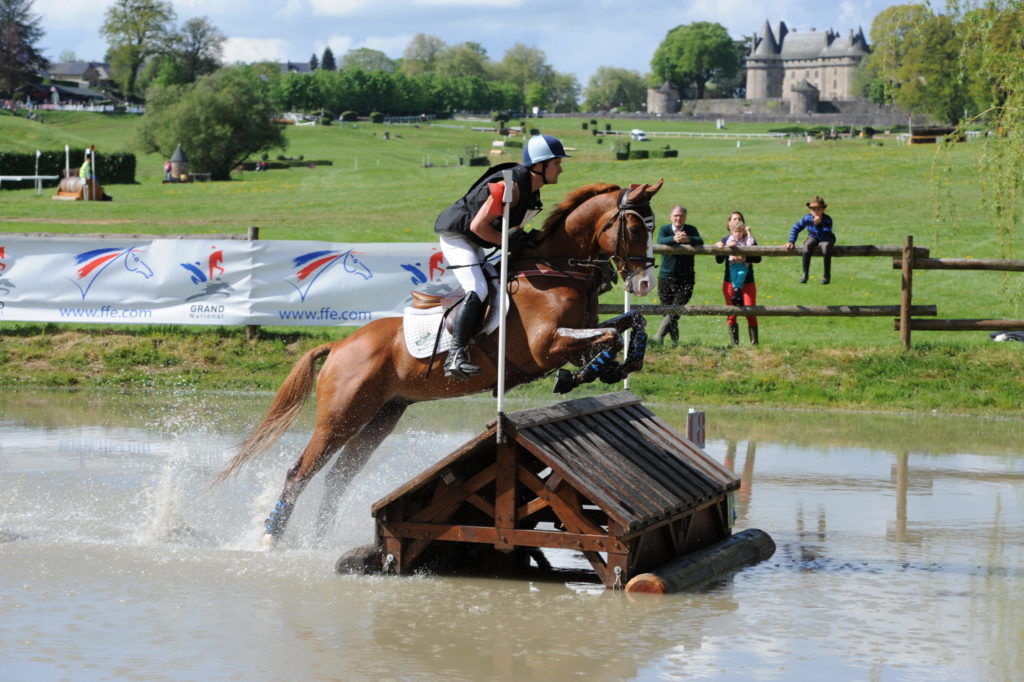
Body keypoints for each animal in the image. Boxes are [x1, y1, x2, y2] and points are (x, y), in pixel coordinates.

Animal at [215, 178, 663, 544]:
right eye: (635, 228)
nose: (644, 284)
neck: (556, 270)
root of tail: (341, 346)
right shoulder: (544, 347)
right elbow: (607, 337)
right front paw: (581, 375)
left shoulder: (578, 334)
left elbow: (629, 325)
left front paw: (615, 367)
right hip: (341, 415)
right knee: (301, 472)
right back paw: (271, 536)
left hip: (382, 414)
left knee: (339, 477)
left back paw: (318, 538)